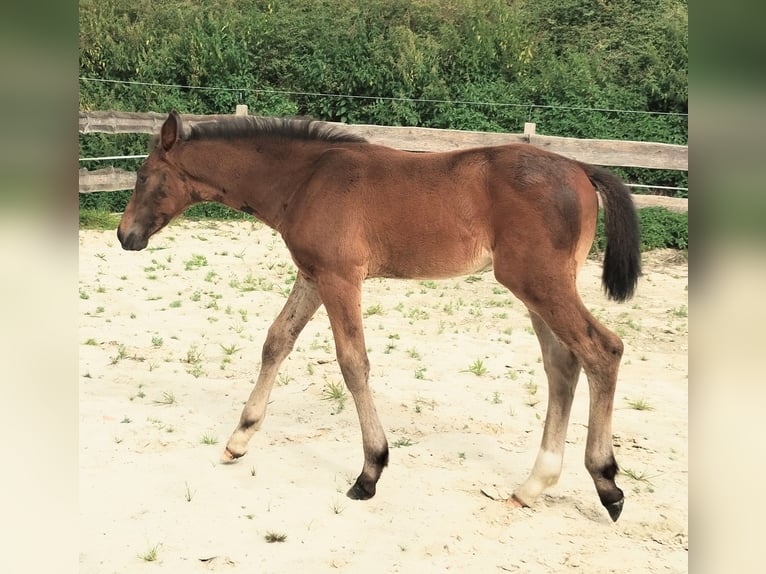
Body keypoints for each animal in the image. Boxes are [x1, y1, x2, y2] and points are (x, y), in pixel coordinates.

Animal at [117, 111, 641, 522]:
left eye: (142, 177)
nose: (125, 236)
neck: (305, 179)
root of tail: (580, 167)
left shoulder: (340, 278)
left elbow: (353, 363)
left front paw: (370, 471)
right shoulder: (312, 276)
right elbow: (276, 341)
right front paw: (239, 439)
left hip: (538, 282)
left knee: (603, 350)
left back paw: (607, 484)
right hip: (539, 289)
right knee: (563, 365)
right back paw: (534, 485)